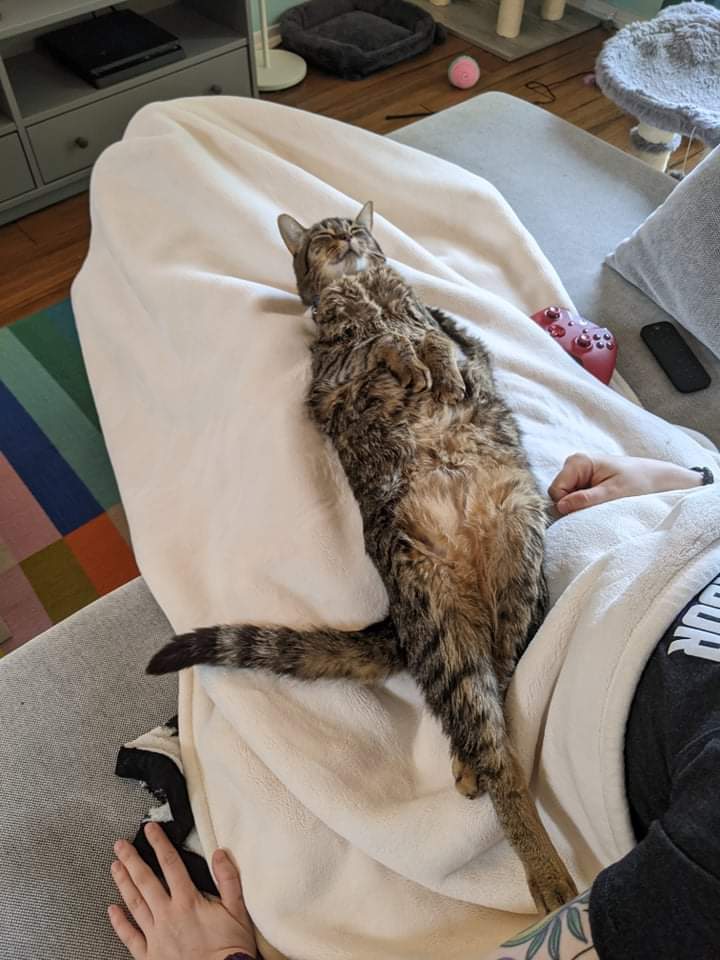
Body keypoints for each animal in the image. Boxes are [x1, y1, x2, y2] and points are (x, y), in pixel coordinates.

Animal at [147, 202, 577, 913]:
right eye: (325, 236)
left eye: (357, 228)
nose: (349, 236)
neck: (366, 288)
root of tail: (404, 621)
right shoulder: (332, 374)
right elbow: (381, 343)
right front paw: (407, 355)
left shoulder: (425, 318)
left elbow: (435, 339)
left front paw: (442, 366)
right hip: (441, 620)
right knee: (492, 746)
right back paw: (544, 870)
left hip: (517, 570)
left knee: (501, 676)